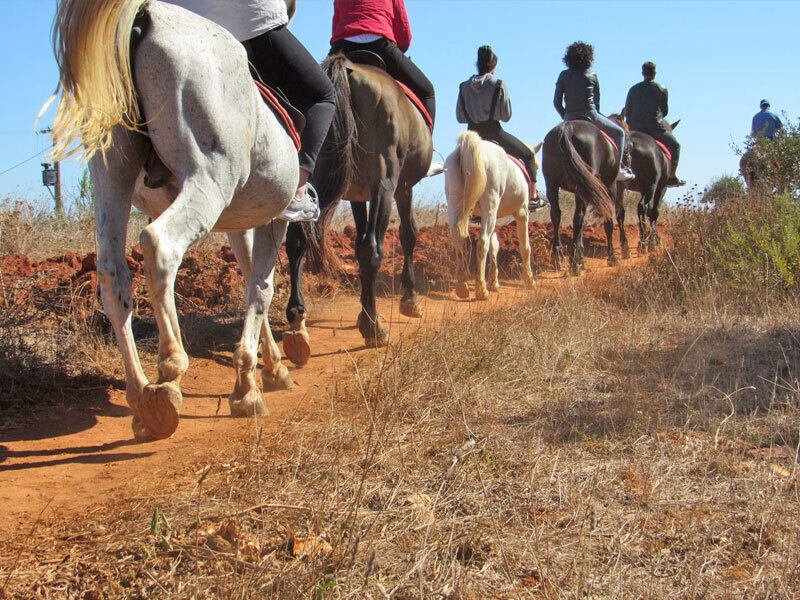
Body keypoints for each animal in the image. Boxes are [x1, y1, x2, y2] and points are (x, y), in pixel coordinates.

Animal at [49, 0, 302, 440]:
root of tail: (146, 14)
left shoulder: (240, 223)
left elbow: (251, 280)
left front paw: (267, 370)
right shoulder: (275, 219)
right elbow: (262, 289)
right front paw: (247, 389)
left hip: (111, 174)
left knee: (112, 273)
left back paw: (140, 395)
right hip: (208, 179)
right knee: (159, 244)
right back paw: (169, 370)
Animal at [281, 53, 433, 356]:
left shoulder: (357, 195)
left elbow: (358, 241)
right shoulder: (402, 187)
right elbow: (408, 234)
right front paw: (409, 300)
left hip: (311, 174)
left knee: (297, 240)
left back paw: (297, 320)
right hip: (385, 184)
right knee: (372, 249)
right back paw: (374, 329)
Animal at [444, 131, 539, 299]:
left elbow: (494, 246)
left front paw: (494, 283)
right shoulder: (522, 213)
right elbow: (525, 247)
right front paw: (529, 281)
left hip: (455, 202)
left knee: (458, 239)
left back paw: (462, 285)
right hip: (491, 202)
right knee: (482, 242)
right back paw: (481, 289)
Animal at [541, 120, 616, 275]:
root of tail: (567, 127)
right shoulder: (609, 187)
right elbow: (608, 221)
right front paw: (612, 257)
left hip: (552, 184)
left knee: (556, 215)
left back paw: (559, 256)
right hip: (582, 187)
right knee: (578, 217)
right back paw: (575, 264)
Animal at [608, 116, 679, 257]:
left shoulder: (642, 189)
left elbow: (650, 211)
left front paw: (653, 237)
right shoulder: (660, 187)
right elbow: (654, 211)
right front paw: (653, 240)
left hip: (620, 186)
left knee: (620, 211)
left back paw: (626, 246)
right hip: (651, 185)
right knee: (641, 207)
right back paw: (643, 243)